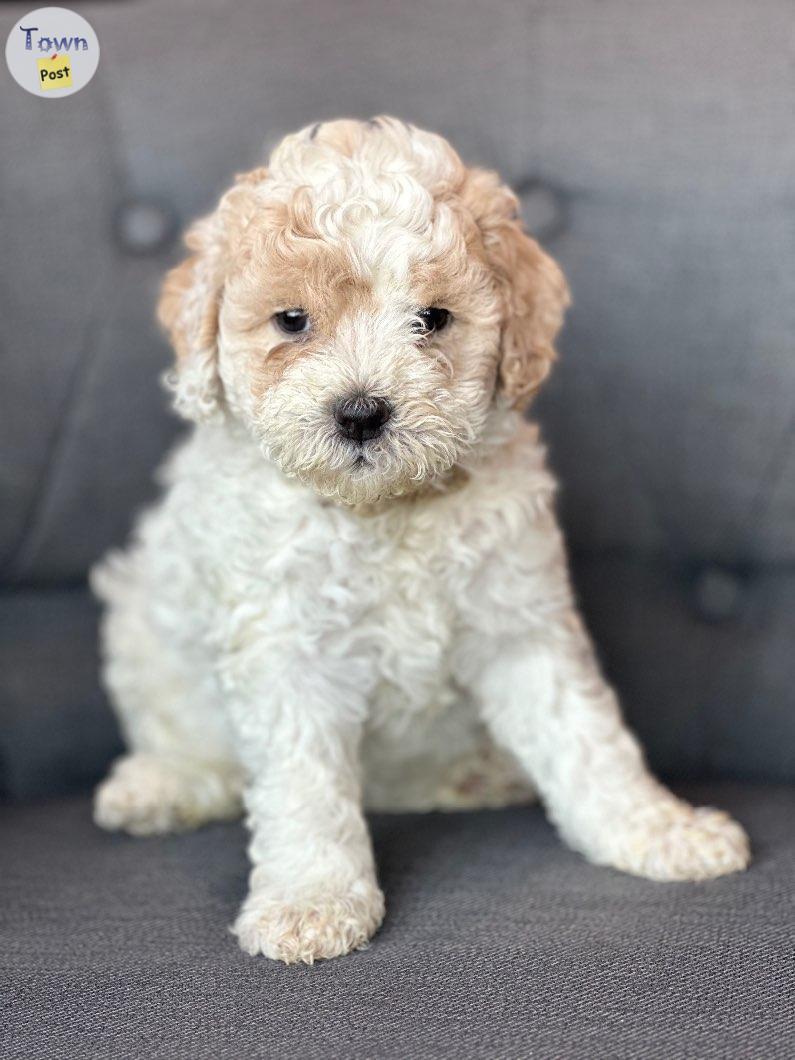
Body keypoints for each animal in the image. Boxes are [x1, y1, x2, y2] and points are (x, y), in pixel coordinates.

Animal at [91, 116, 746, 962]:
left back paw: (480, 776)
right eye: (292, 321)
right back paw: (160, 785)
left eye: (431, 319)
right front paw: (310, 902)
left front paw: (657, 830)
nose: (360, 412)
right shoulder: (285, 646)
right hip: (141, 623)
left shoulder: (520, 623)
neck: (386, 511)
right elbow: (303, 787)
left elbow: (588, 741)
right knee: (192, 743)